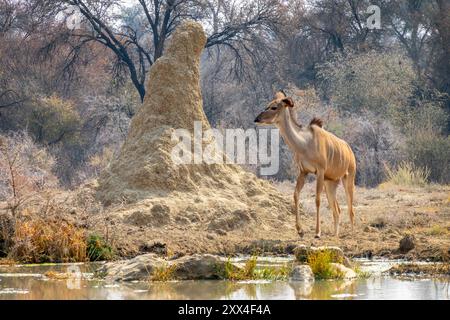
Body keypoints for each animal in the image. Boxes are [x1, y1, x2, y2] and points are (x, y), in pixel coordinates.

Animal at [255, 90, 356, 238]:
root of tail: (349, 150)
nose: (257, 119)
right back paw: (335, 235)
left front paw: (317, 232)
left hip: (348, 178)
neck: (305, 143)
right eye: (268, 105)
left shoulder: (319, 172)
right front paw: (300, 230)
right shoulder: (304, 172)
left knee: (350, 208)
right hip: (330, 183)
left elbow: (317, 199)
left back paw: (352, 233)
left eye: (274, 107)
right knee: (337, 209)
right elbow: (296, 194)